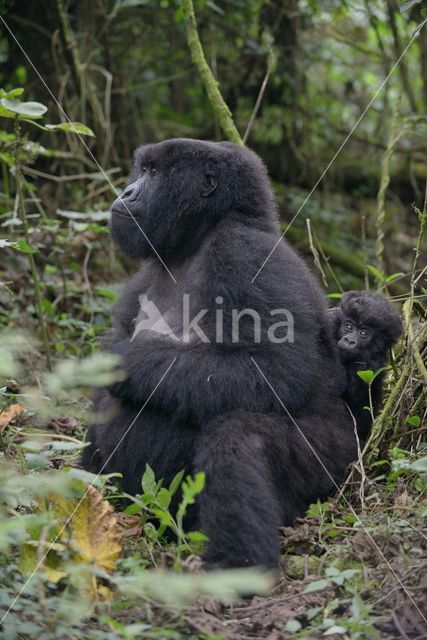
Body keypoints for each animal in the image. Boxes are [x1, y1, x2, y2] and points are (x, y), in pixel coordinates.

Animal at [83, 138, 358, 568]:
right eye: (142, 169)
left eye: (154, 174)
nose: (126, 193)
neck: (197, 238)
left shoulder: (243, 254)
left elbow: (273, 372)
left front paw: (122, 362)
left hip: (338, 456)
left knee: (235, 437)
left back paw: (237, 566)